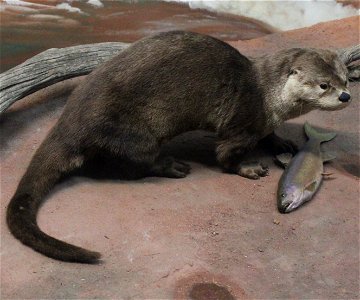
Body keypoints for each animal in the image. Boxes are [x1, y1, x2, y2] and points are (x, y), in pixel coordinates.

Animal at [5, 30, 350, 262]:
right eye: (324, 85)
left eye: (345, 78)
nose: (346, 96)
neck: (267, 95)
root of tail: (69, 120)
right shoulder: (242, 121)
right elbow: (226, 155)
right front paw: (249, 168)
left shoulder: (262, 121)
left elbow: (269, 135)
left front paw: (282, 141)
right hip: (133, 134)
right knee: (130, 164)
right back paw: (171, 165)